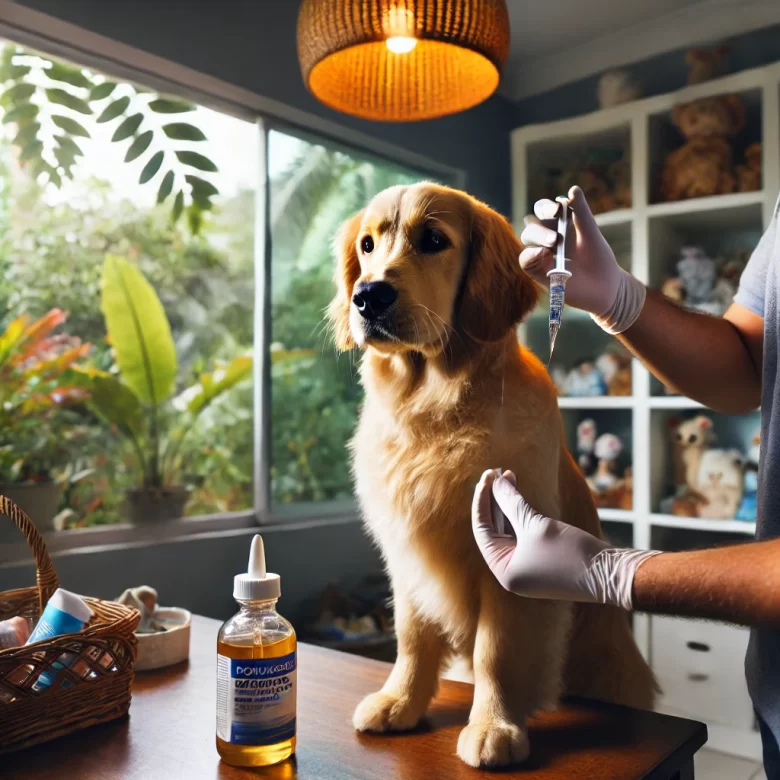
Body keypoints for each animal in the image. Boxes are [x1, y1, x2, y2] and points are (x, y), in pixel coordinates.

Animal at [330, 181, 660, 768]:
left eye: (433, 240)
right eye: (367, 245)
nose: (367, 296)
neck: (434, 408)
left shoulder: (507, 562)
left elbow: (495, 651)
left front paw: (494, 726)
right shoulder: (406, 554)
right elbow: (411, 636)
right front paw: (401, 701)